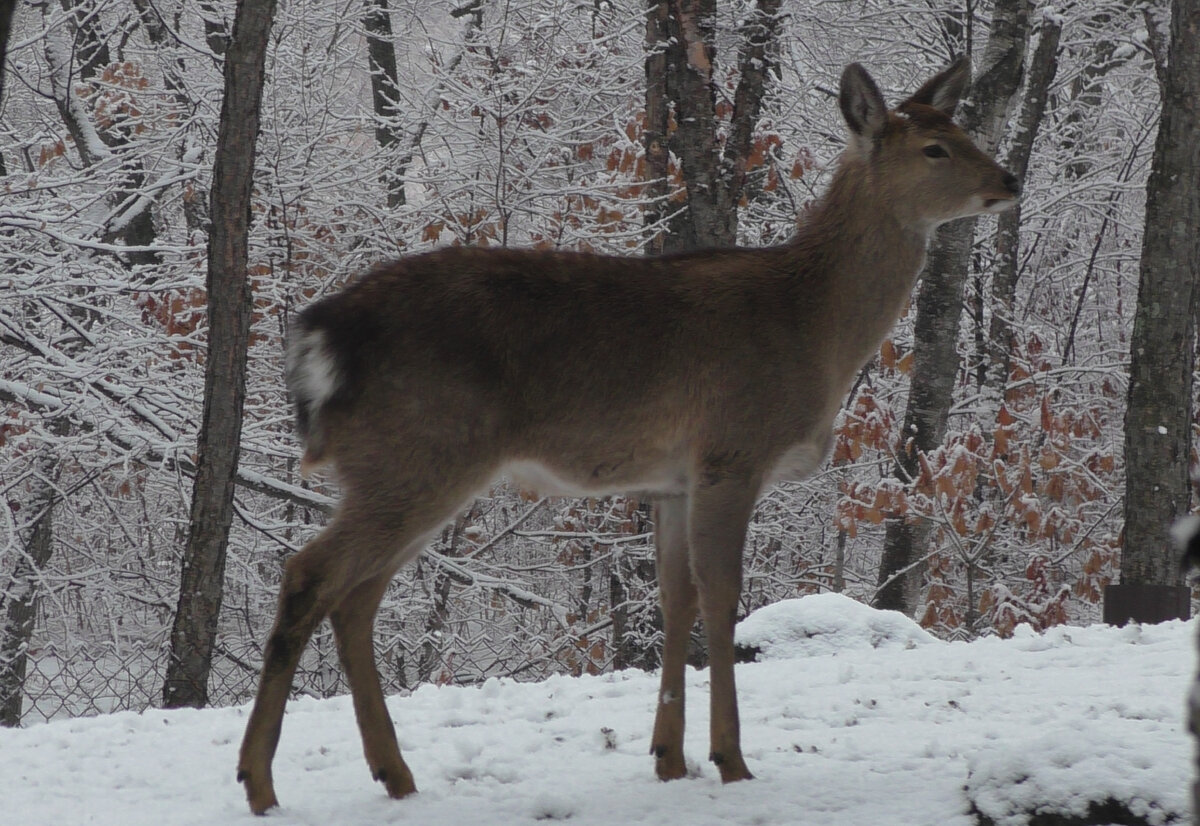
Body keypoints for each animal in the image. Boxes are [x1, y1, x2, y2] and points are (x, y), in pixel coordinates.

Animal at [236, 58, 1022, 811]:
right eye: (934, 148)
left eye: (963, 130)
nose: (1008, 180)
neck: (814, 327)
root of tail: (321, 334)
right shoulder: (732, 452)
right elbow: (721, 595)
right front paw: (732, 759)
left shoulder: (671, 480)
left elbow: (674, 600)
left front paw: (668, 758)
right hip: (420, 453)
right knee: (310, 576)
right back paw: (260, 781)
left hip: (403, 467)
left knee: (356, 598)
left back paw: (395, 774)